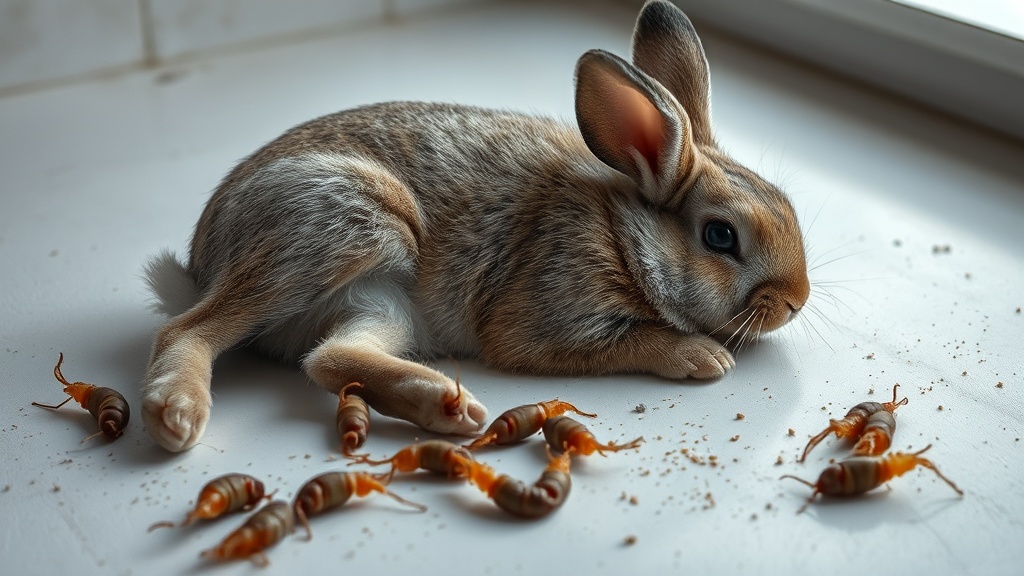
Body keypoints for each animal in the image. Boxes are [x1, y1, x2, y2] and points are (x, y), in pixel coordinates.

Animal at [142, 0, 810, 452]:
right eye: (720, 236)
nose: (796, 301)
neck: (622, 233)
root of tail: (201, 264)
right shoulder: (553, 318)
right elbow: (629, 342)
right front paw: (702, 356)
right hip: (340, 228)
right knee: (187, 330)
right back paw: (176, 413)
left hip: (381, 303)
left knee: (330, 358)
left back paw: (448, 407)